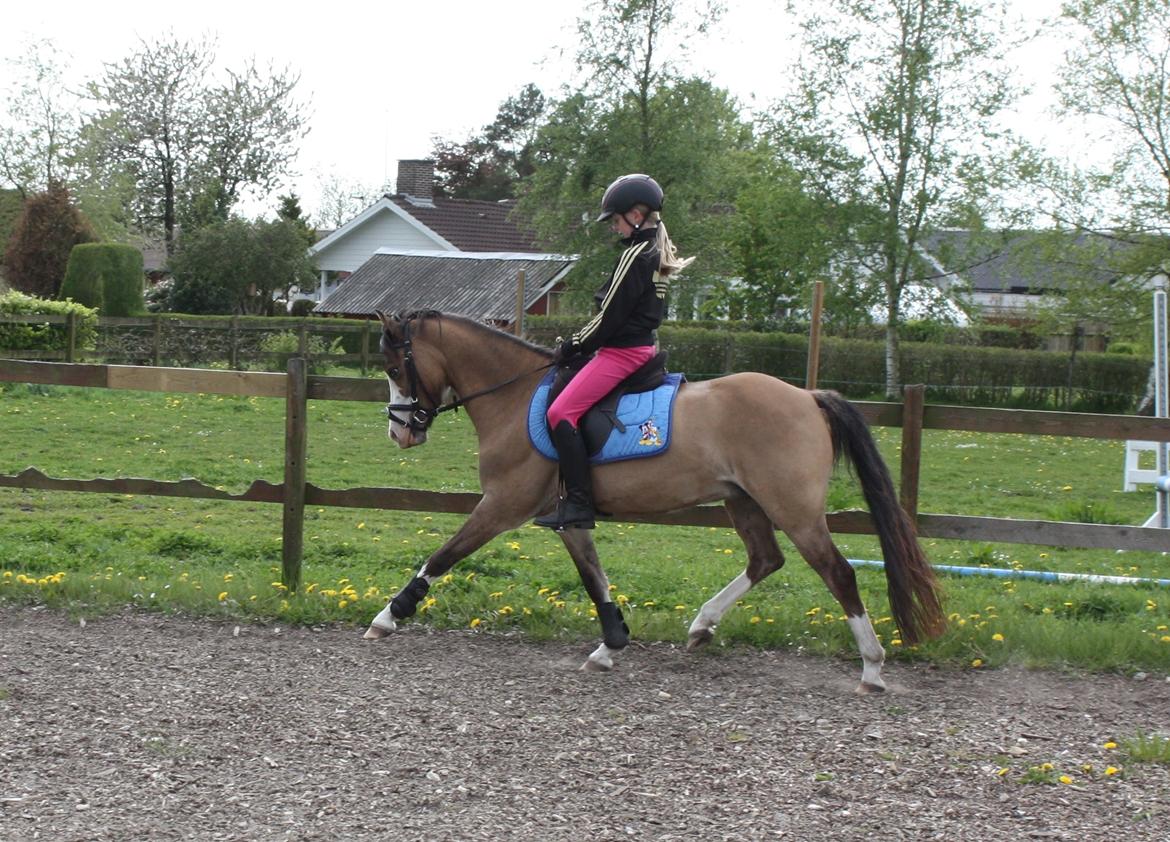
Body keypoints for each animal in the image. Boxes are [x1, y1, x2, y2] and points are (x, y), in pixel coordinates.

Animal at [363, 310, 945, 692]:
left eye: (393, 368)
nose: (399, 433)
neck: (513, 395)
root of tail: (807, 396)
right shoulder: (567, 516)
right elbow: (594, 578)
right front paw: (609, 646)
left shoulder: (502, 505)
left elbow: (443, 556)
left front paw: (389, 616)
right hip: (744, 501)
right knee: (765, 559)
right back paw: (702, 626)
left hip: (794, 509)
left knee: (837, 572)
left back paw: (872, 667)